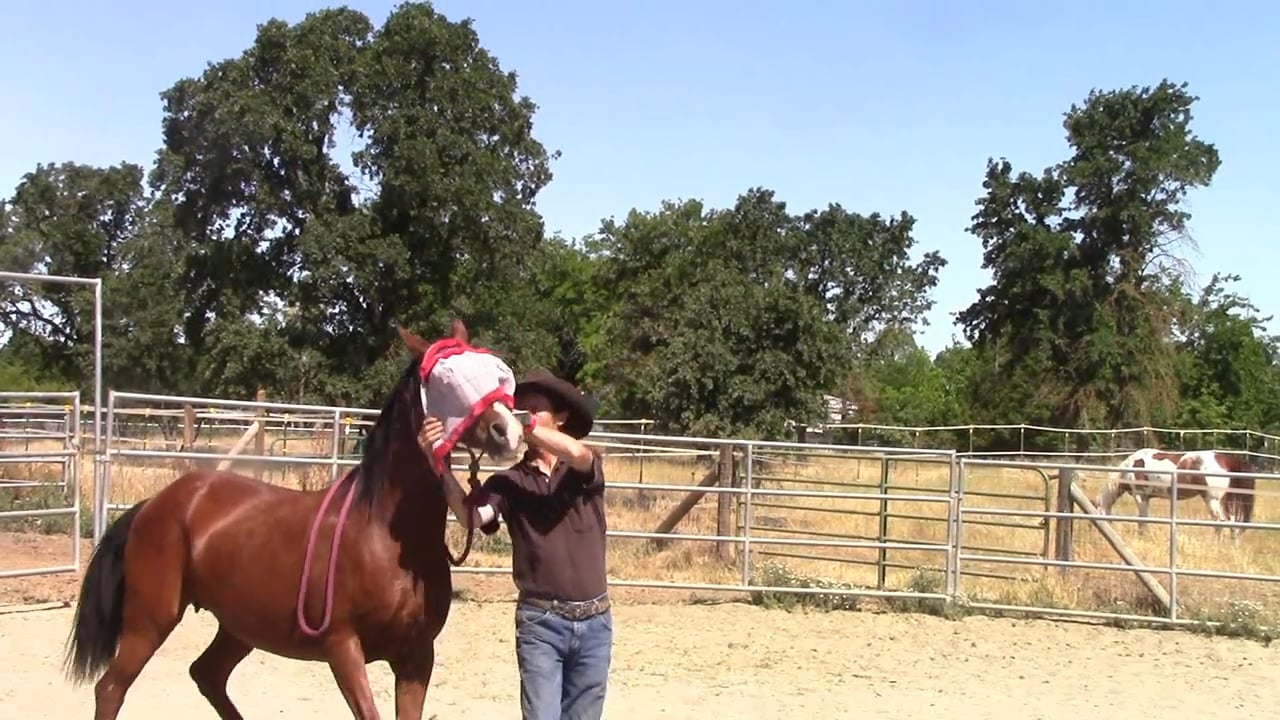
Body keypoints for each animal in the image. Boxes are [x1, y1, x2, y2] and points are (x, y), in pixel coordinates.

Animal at [62, 320, 526, 719]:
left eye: (495, 372)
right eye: (447, 381)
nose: (509, 432)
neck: (386, 537)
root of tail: (155, 504)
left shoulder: (416, 657)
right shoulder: (343, 648)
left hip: (239, 626)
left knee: (207, 675)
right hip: (150, 621)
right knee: (111, 689)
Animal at [1094, 447, 1256, 539]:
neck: (1130, 466)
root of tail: (1228, 460)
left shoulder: (1140, 495)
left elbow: (1142, 520)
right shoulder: (1147, 497)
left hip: (1213, 500)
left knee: (1219, 523)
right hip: (1226, 501)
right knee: (1233, 524)